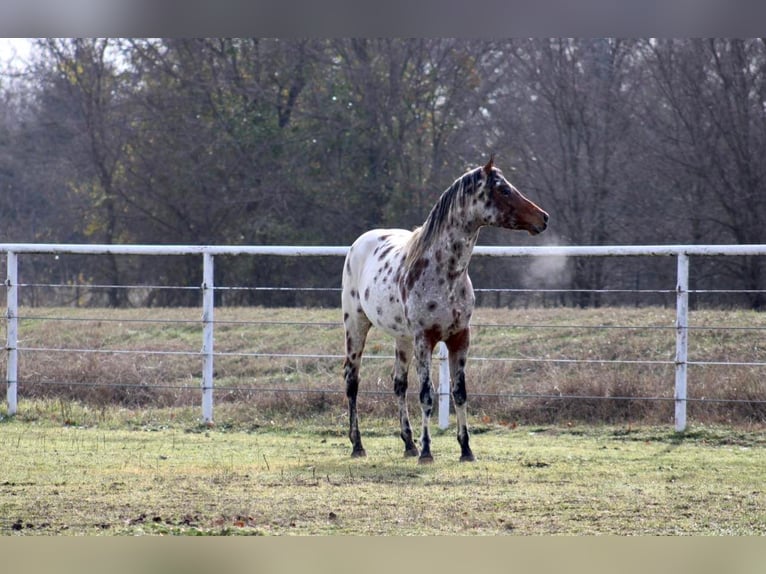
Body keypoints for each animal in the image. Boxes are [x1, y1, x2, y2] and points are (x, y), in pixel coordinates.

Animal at [344, 158, 552, 464]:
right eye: (503, 190)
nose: (543, 218)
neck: (445, 273)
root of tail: (359, 243)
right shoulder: (425, 340)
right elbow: (427, 396)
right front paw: (427, 452)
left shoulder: (459, 338)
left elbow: (459, 393)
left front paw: (466, 449)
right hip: (356, 327)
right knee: (352, 380)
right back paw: (358, 445)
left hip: (402, 338)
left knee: (398, 384)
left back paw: (408, 444)